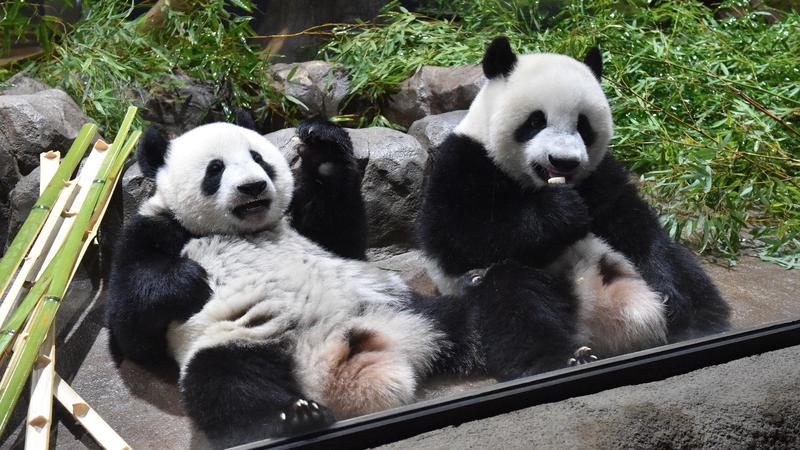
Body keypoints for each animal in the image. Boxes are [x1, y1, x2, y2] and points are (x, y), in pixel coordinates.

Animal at [104, 115, 446, 442]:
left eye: (258, 158)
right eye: (215, 169)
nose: (253, 187)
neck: (243, 230)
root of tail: (326, 361)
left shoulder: (305, 230)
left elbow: (339, 235)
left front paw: (323, 142)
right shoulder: (155, 229)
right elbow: (130, 325)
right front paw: (191, 279)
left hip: (391, 303)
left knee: (452, 319)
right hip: (240, 342)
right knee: (228, 386)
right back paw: (296, 416)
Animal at [418, 37, 732, 362]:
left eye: (583, 125)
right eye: (535, 121)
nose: (564, 161)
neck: (536, 184)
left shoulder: (599, 174)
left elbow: (634, 225)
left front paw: (669, 293)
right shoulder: (463, 162)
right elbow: (461, 236)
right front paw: (562, 212)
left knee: (684, 266)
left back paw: (699, 325)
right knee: (513, 299)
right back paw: (562, 356)